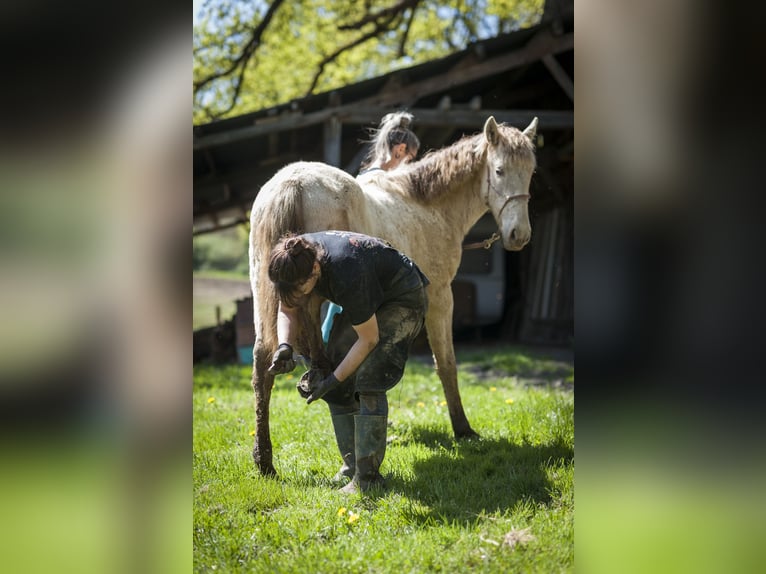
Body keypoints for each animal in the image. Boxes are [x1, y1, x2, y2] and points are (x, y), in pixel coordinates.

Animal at [248, 116, 538, 476]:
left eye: (531, 171)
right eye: (499, 171)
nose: (519, 235)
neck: (426, 205)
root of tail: (292, 183)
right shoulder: (441, 295)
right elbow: (446, 364)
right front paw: (463, 430)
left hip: (266, 290)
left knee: (266, 360)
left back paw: (266, 461)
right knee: (315, 354)